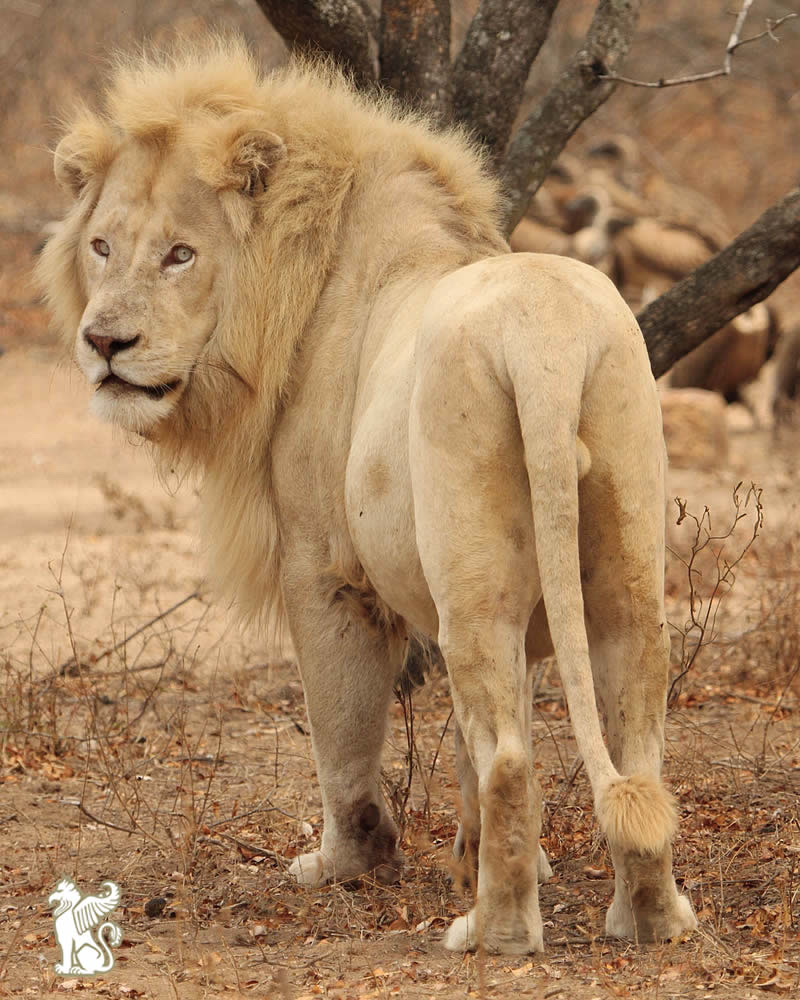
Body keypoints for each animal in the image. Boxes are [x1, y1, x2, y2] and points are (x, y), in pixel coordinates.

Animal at [37, 37, 696, 954]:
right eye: (102, 246)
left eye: (180, 254)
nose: (104, 342)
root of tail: (546, 342)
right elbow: (470, 747)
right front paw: (480, 858)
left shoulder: (324, 569)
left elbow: (343, 727)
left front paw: (349, 862)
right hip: (619, 546)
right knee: (631, 739)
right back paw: (650, 918)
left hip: (473, 580)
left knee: (509, 760)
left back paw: (493, 933)